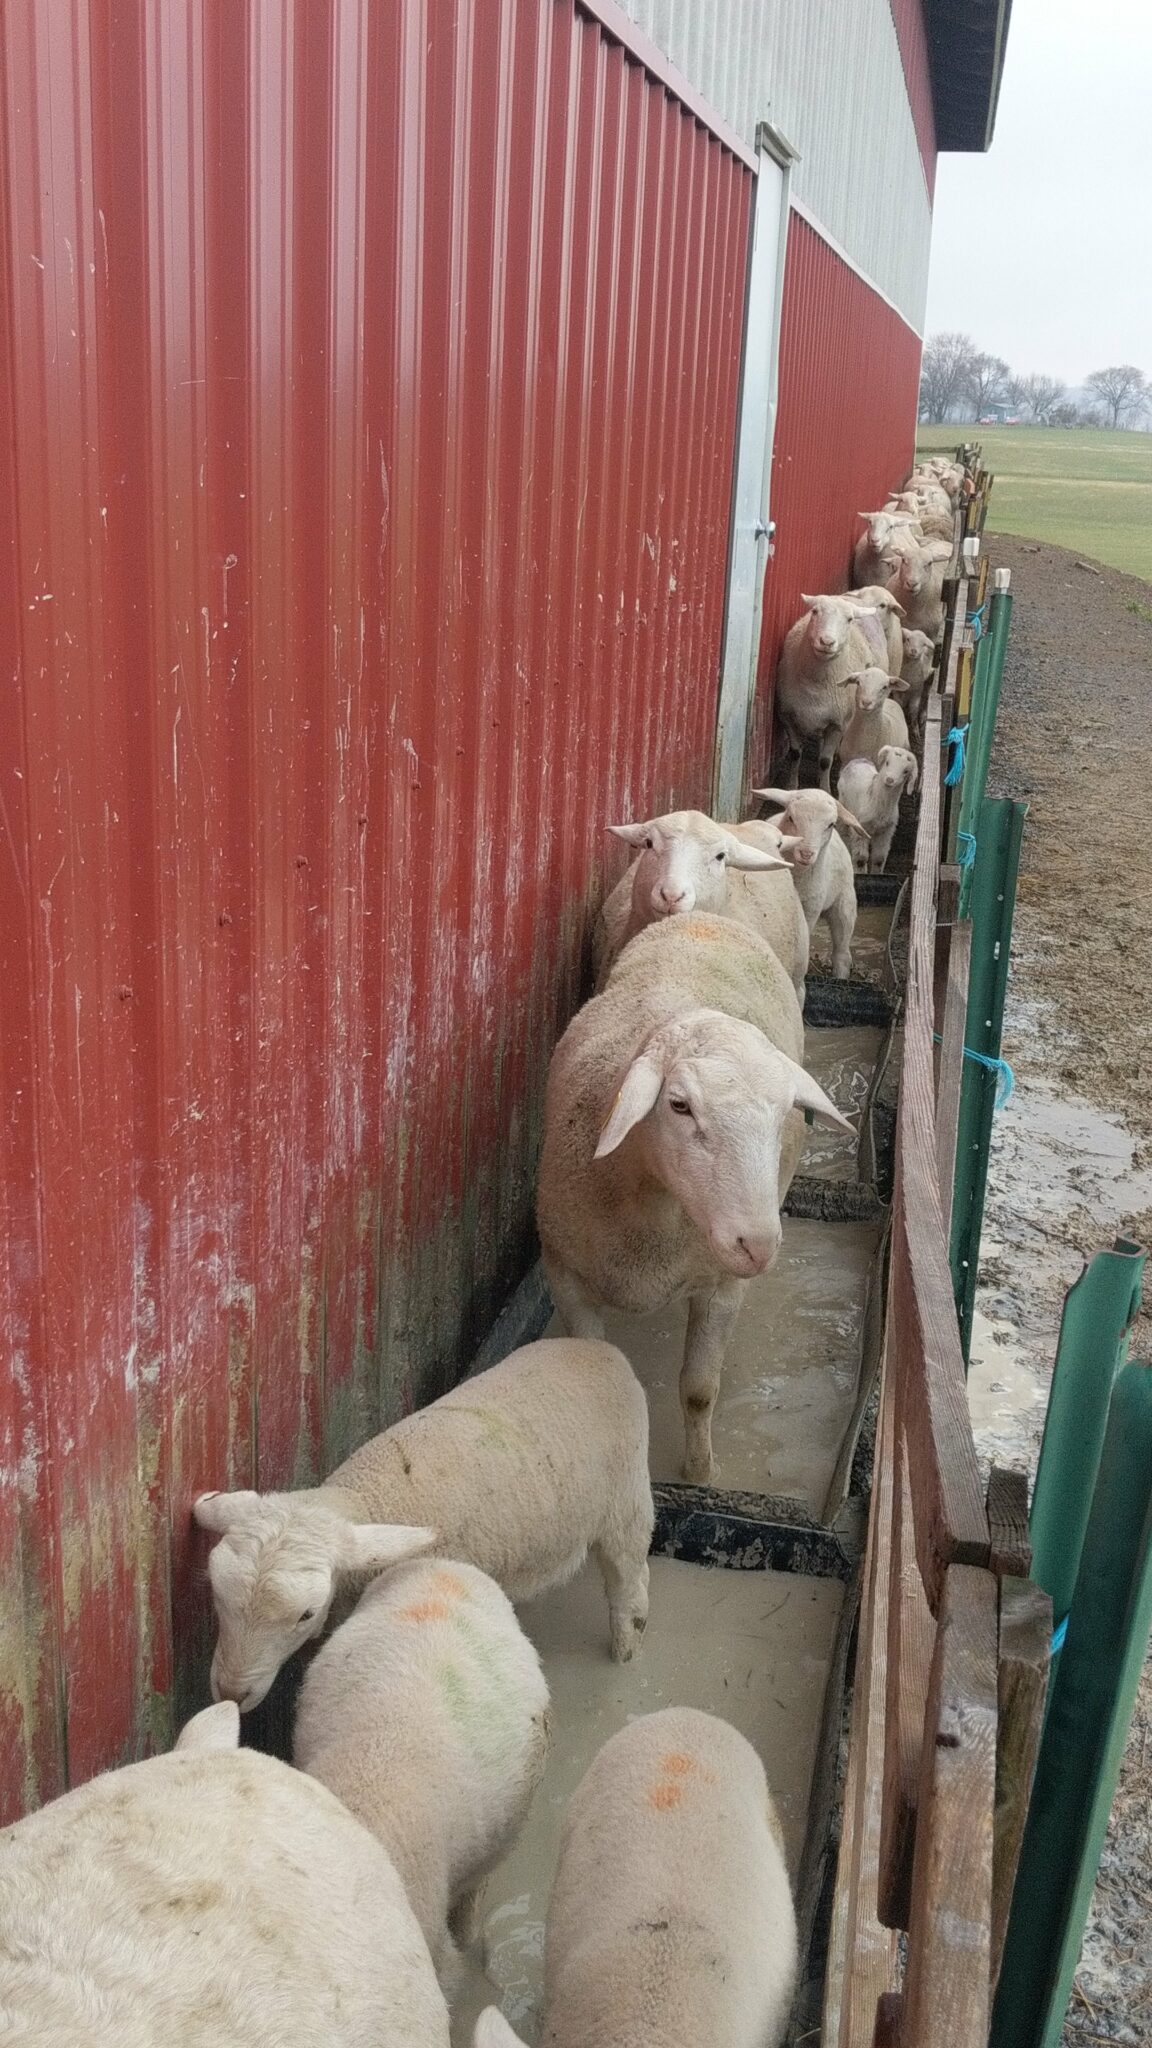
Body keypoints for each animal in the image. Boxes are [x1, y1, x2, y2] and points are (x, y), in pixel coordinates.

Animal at [194, 1336, 654, 1707]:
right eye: (216, 1595)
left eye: (305, 1615)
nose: (232, 1693)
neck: (367, 1500)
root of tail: (599, 1348)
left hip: (626, 1498)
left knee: (626, 1579)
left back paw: (626, 1645)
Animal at [537, 914, 852, 1483]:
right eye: (679, 1105)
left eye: (784, 1113)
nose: (758, 1245)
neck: (655, 1217)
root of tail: (709, 917)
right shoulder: (565, 1279)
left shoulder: (723, 1286)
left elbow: (699, 1391)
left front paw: (700, 1473)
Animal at [751, 786, 864, 980]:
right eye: (791, 818)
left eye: (830, 825)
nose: (806, 854)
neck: (797, 875)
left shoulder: (811, 909)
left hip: (845, 903)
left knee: (842, 952)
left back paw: (840, 976)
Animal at [774, 593, 878, 789]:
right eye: (815, 611)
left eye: (849, 619)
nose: (827, 642)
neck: (816, 686)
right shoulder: (787, 716)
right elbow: (795, 753)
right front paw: (791, 786)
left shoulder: (837, 725)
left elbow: (825, 761)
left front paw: (825, 788)